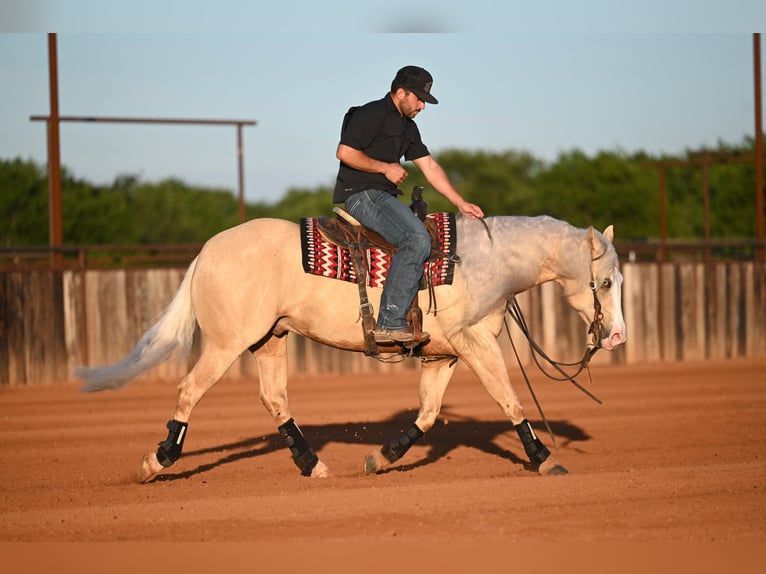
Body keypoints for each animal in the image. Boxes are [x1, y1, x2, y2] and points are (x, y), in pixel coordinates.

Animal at [76, 214, 627, 483]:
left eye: (621, 280)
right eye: (603, 281)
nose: (618, 336)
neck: (482, 261)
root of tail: (207, 250)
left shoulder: (444, 355)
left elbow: (428, 415)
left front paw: (381, 458)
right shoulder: (474, 346)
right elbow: (511, 401)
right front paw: (545, 458)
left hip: (269, 340)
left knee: (275, 400)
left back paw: (313, 465)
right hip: (227, 343)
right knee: (189, 391)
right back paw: (157, 461)